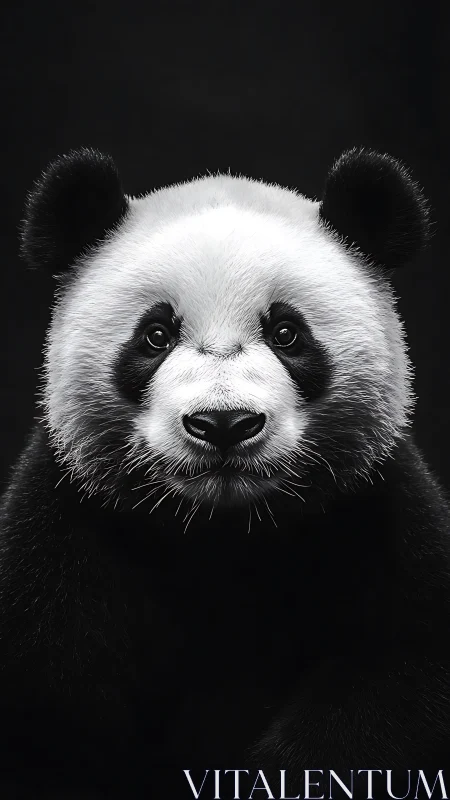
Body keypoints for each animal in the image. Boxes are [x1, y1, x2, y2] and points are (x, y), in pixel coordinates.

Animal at [0, 146, 450, 800]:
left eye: (287, 333)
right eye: (155, 336)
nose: (224, 423)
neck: (223, 532)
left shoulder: (378, 516)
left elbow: (393, 684)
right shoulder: (63, 535)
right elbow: (51, 706)